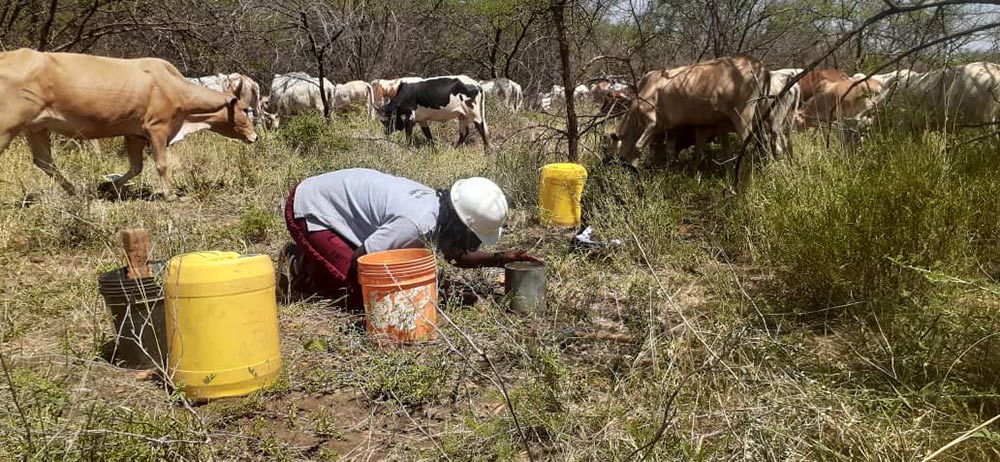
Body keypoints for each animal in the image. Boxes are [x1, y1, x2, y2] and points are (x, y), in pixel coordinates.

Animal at [0, 49, 258, 200]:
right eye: (244, 110)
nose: (255, 137)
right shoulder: (157, 128)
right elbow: (161, 164)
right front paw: (170, 195)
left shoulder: (134, 135)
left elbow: (136, 167)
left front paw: (108, 187)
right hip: (7, 127)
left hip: (35, 127)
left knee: (44, 162)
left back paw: (76, 192)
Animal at [604, 55, 768, 165]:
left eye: (612, 155)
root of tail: (758, 64)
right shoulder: (669, 127)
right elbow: (667, 150)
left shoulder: (651, 121)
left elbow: (638, 147)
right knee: (764, 139)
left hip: (742, 114)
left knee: (749, 144)